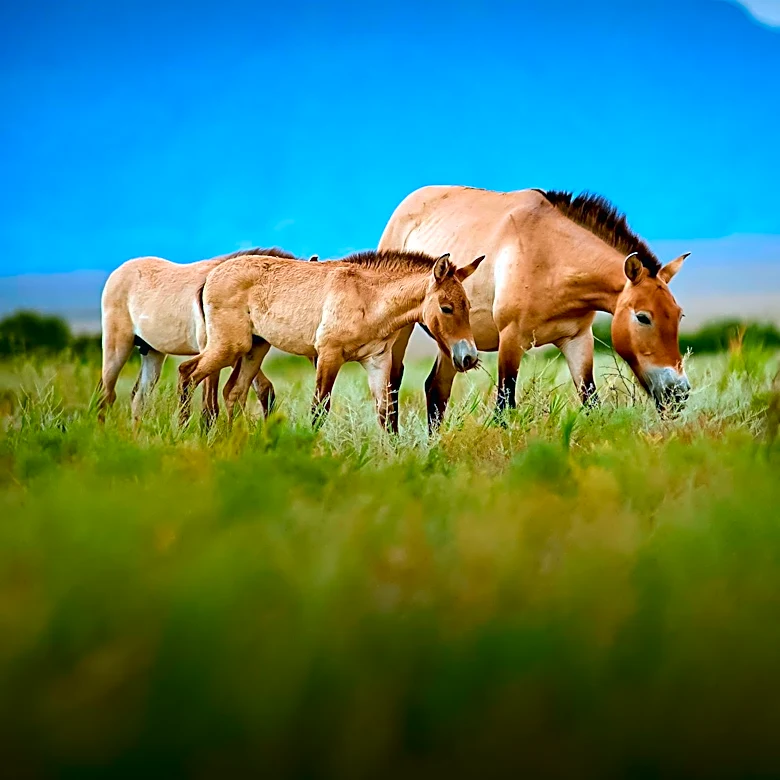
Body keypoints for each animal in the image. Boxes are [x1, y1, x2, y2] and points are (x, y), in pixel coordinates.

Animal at [99, 247, 317, 421]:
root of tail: (118, 272)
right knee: (105, 395)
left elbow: (264, 390)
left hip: (152, 352)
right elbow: (210, 408)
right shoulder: (212, 349)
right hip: (117, 347)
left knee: (139, 398)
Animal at [177, 250, 484, 430]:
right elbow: (319, 409)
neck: (368, 297)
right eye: (446, 308)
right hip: (229, 346)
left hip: (255, 348)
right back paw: (182, 429)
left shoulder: (377, 362)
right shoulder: (328, 355)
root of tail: (209, 277)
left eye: (468, 306)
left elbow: (385, 414)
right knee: (187, 372)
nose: (468, 357)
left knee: (233, 392)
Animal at [378, 186, 691, 431]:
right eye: (643, 317)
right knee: (391, 386)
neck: (552, 255)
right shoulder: (511, 340)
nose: (679, 392)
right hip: (403, 331)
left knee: (436, 391)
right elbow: (504, 407)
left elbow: (591, 402)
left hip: (454, 343)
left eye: (679, 316)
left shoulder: (577, 339)